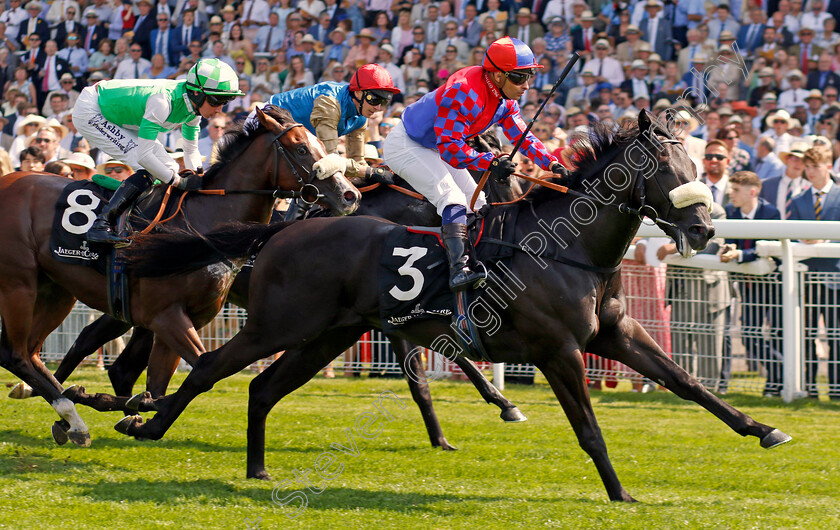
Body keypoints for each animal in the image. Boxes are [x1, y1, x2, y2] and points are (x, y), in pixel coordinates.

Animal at [0, 106, 358, 446]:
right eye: (301, 149)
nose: (350, 194)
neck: (203, 226)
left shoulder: (183, 319)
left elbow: (162, 383)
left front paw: (133, 414)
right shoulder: (166, 316)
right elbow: (200, 368)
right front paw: (116, 404)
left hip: (56, 290)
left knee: (34, 352)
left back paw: (66, 414)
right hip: (19, 284)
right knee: (16, 355)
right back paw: (69, 412)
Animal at [113, 111, 796, 500]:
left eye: (698, 157)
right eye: (661, 164)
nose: (705, 230)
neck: (569, 247)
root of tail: (278, 231)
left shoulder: (616, 337)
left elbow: (690, 384)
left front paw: (764, 429)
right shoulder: (558, 350)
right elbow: (588, 428)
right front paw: (620, 493)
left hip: (329, 335)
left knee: (259, 388)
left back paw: (254, 469)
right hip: (280, 325)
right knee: (207, 367)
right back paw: (145, 423)